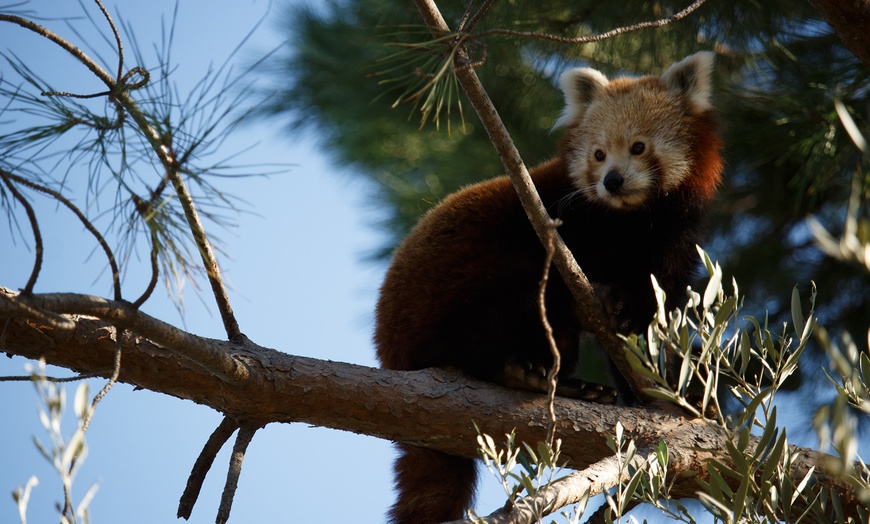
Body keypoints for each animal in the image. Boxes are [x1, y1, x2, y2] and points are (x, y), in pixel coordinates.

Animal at [374, 50, 724, 524]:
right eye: (598, 154)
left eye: (638, 146)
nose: (612, 180)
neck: (633, 221)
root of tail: (391, 354)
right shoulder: (564, 219)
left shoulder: (673, 245)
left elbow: (650, 320)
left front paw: (657, 388)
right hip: (451, 291)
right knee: (517, 299)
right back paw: (521, 373)